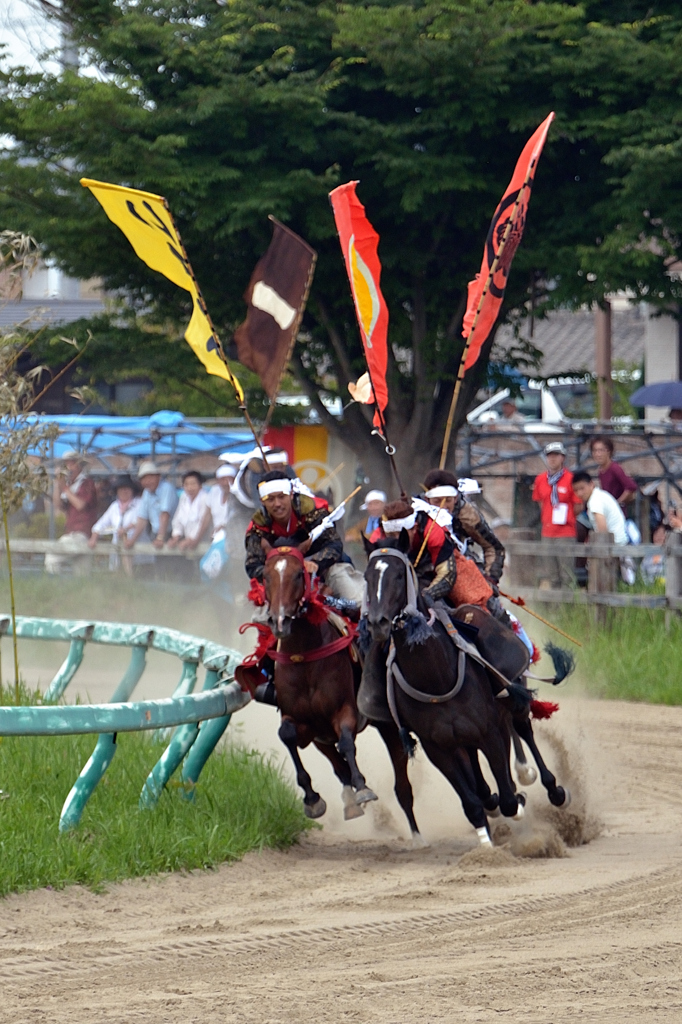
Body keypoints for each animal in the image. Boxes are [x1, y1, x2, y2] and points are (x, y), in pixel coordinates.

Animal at [246, 544, 421, 839]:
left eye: (298, 574)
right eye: (266, 577)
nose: (279, 621)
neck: (304, 656)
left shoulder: (344, 711)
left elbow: (348, 742)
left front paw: (363, 789)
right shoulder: (303, 722)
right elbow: (288, 736)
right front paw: (312, 799)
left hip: (385, 724)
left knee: (401, 781)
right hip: (321, 736)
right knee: (338, 764)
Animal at [360, 532, 520, 843]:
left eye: (399, 575)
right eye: (367, 576)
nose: (377, 623)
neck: (435, 676)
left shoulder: (489, 732)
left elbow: (508, 797)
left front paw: (516, 806)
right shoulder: (437, 747)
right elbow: (472, 802)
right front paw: (485, 839)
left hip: (506, 708)